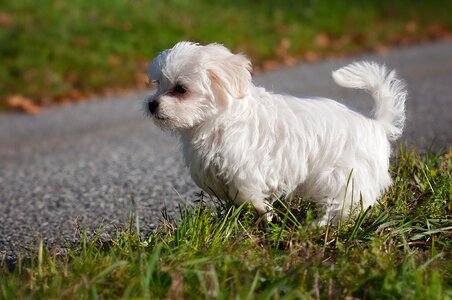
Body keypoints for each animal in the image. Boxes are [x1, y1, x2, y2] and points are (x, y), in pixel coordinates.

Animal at [144, 42, 406, 225]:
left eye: (181, 89)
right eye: (158, 84)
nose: (151, 104)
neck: (218, 119)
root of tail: (374, 123)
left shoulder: (244, 170)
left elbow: (248, 195)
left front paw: (265, 214)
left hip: (343, 175)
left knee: (346, 204)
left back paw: (319, 226)